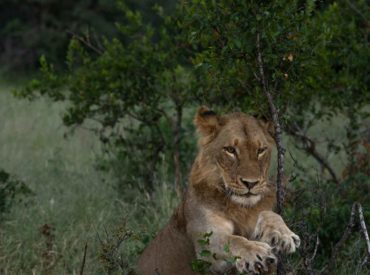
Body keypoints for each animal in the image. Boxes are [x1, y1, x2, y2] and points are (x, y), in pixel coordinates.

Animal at [137, 108, 300, 275]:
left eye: (260, 150)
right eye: (230, 150)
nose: (251, 183)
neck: (240, 208)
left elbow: (269, 214)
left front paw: (283, 235)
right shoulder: (206, 248)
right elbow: (232, 240)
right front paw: (257, 253)